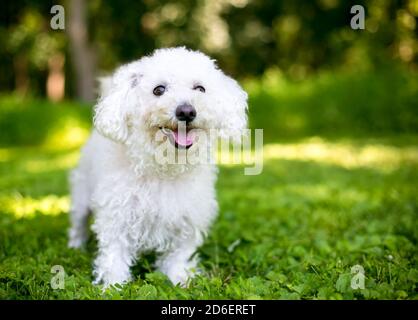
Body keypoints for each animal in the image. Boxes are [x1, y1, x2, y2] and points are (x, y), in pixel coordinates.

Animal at [67, 47, 247, 288]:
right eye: (159, 89)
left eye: (200, 88)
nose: (186, 111)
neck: (165, 166)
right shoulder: (117, 217)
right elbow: (114, 256)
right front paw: (113, 286)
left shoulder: (186, 221)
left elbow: (178, 256)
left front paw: (179, 278)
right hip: (81, 196)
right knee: (78, 224)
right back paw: (75, 246)